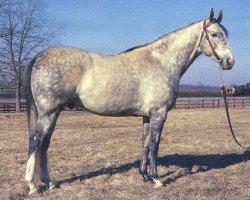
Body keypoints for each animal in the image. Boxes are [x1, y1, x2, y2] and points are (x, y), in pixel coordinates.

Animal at [24, 9, 233, 194]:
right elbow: (155, 145)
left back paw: (49, 183)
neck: (161, 62)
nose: (229, 61)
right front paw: (157, 179)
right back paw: (32, 186)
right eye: (214, 34)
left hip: (54, 112)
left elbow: (145, 143)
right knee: (35, 142)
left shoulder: (147, 116)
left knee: (45, 143)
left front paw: (145, 176)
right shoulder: (159, 114)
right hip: (48, 112)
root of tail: (39, 56)